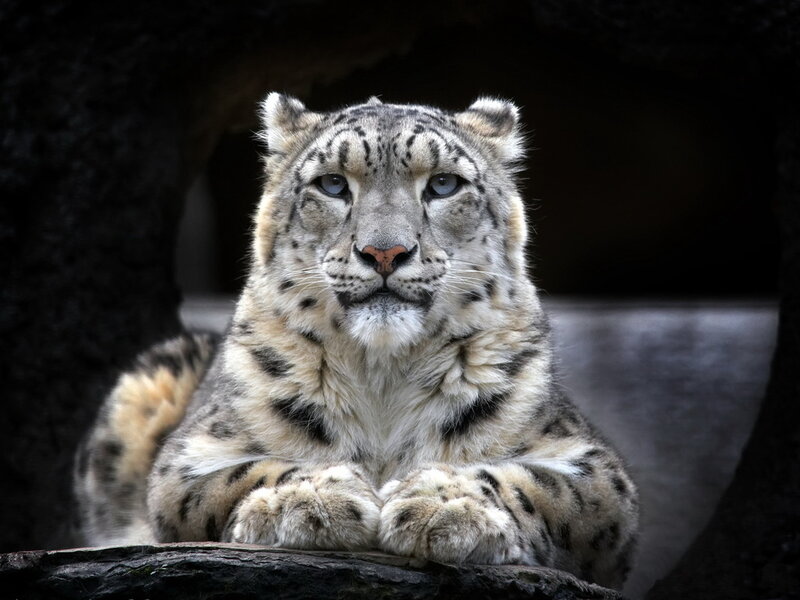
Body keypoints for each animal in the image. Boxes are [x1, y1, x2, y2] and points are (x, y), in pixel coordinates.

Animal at [74, 93, 639, 589]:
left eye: (443, 184)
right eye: (331, 184)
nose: (384, 252)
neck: (384, 377)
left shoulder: (594, 467)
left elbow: (537, 483)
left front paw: (443, 503)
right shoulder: (190, 456)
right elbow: (242, 474)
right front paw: (311, 498)